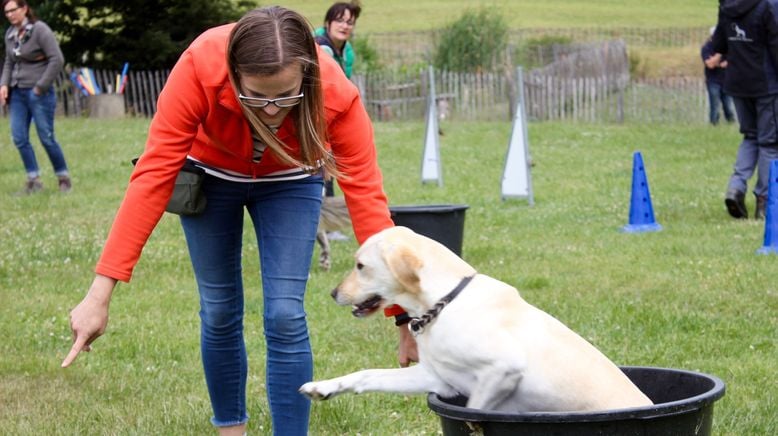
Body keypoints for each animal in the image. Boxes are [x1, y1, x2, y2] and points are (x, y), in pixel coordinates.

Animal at [300, 227, 652, 414]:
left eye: (360, 266)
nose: (333, 293)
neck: (445, 302)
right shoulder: (436, 378)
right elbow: (366, 375)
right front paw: (323, 387)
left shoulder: (503, 370)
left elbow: (474, 409)